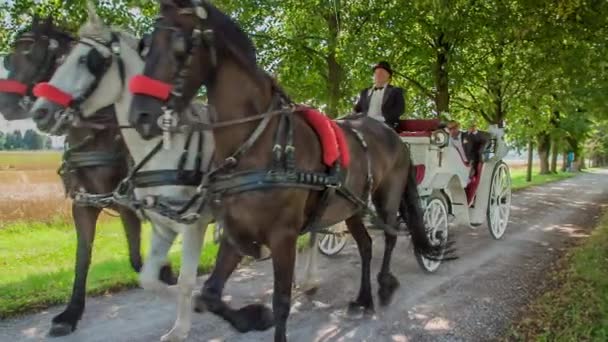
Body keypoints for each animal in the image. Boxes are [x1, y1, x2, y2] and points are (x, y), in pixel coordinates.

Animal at [0, 15, 178, 336]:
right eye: (9, 57)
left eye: (33, 53)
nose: (6, 105)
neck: (100, 137)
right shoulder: (87, 204)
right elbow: (86, 256)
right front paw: (71, 313)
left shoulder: (130, 203)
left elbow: (140, 256)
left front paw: (168, 273)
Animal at [27, 4, 320, 340]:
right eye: (61, 59)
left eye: (89, 61)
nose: (40, 112)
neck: (163, 150)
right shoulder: (157, 223)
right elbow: (146, 277)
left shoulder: (194, 224)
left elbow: (185, 281)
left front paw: (185, 325)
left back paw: (309, 278)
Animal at [129, 1, 452, 340]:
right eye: (145, 45)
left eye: (180, 45)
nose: (141, 116)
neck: (257, 143)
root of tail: (394, 136)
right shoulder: (237, 229)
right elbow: (210, 295)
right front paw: (252, 317)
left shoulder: (283, 235)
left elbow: (281, 300)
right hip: (352, 206)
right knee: (366, 245)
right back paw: (363, 299)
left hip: (387, 197)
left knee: (389, 236)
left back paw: (385, 286)